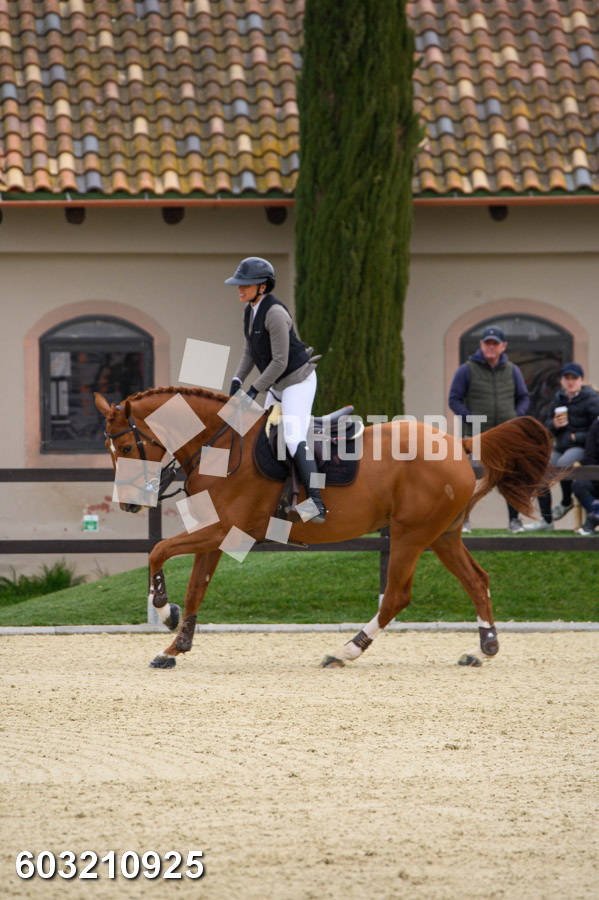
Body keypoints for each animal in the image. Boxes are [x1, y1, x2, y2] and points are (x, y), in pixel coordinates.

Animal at [94, 387, 552, 670]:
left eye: (129, 446)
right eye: (110, 449)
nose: (130, 503)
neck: (219, 444)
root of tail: (457, 444)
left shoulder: (224, 530)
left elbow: (158, 551)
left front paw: (163, 610)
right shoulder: (213, 533)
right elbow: (195, 589)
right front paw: (175, 645)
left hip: (410, 535)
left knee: (396, 596)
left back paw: (345, 651)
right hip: (442, 536)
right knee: (476, 580)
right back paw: (484, 648)